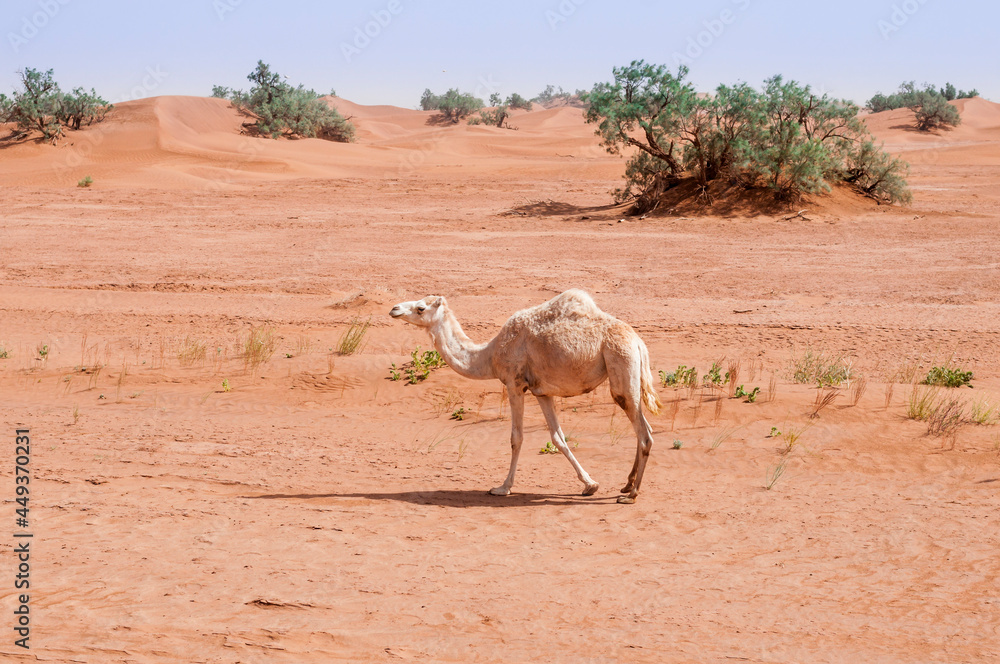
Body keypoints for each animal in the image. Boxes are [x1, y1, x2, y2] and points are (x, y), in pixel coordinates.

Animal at [390, 290, 664, 504]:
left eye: (420, 307)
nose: (394, 308)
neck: (490, 355)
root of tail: (638, 342)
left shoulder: (514, 384)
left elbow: (516, 438)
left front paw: (502, 487)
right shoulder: (542, 392)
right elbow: (558, 438)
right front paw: (589, 484)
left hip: (620, 362)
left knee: (644, 433)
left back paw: (632, 494)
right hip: (628, 370)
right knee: (645, 427)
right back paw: (626, 485)